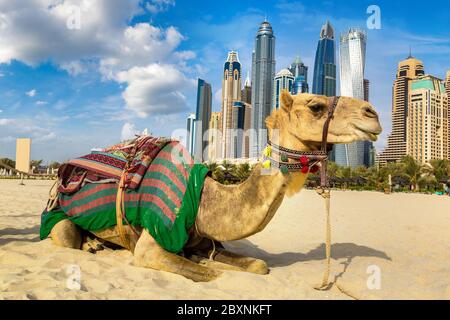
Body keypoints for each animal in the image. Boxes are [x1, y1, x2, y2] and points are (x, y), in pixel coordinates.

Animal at [49, 91, 382, 282]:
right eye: (316, 106)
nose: (373, 114)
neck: (205, 199)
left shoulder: (204, 239)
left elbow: (258, 265)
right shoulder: (152, 242)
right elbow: (211, 274)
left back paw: (96, 244)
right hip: (59, 217)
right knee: (66, 237)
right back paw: (90, 244)